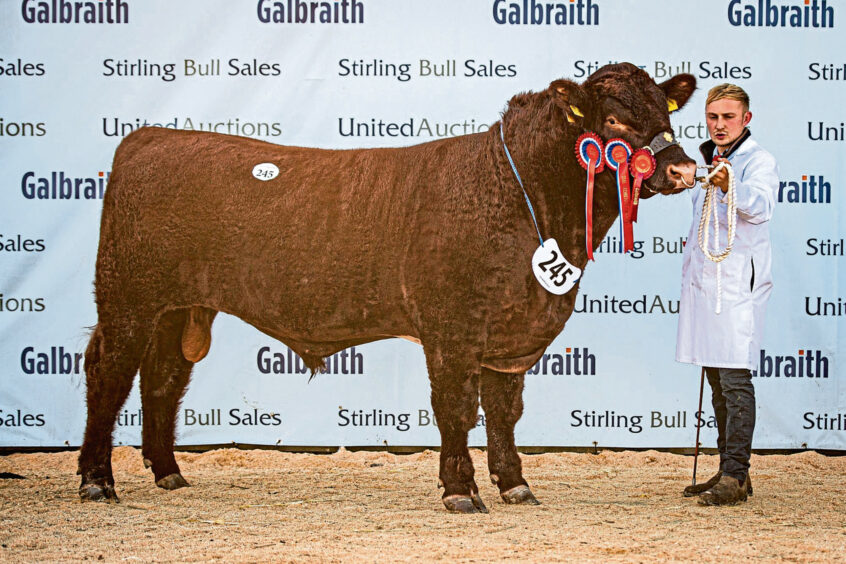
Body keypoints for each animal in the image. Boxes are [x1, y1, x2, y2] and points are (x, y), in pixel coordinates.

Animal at [78, 61, 696, 512]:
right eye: (613, 122)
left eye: (661, 110)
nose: (684, 169)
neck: (520, 195)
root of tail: (151, 137)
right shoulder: (452, 328)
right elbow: (455, 409)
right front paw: (460, 492)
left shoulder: (512, 333)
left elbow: (504, 411)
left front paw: (515, 485)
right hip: (128, 298)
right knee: (109, 375)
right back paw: (96, 481)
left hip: (179, 309)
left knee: (163, 378)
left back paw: (169, 474)